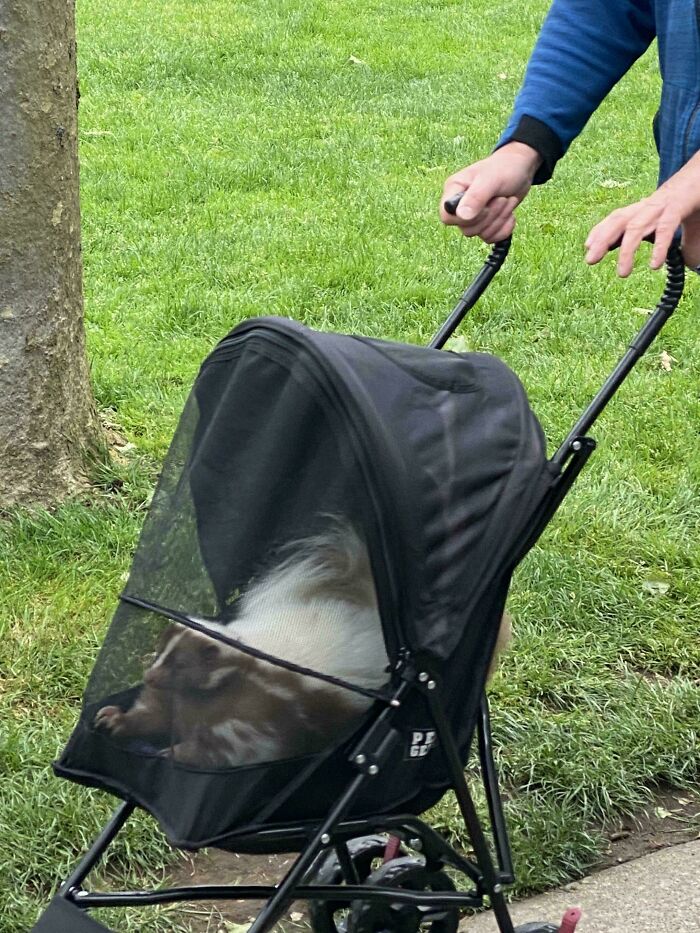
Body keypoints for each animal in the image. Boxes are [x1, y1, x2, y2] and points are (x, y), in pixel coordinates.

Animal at [31, 220, 684, 932]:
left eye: (181, 664)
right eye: (158, 656)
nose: (148, 675)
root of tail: (360, 591)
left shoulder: (259, 719)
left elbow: (215, 750)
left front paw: (170, 752)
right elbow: (156, 721)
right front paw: (118, 723)